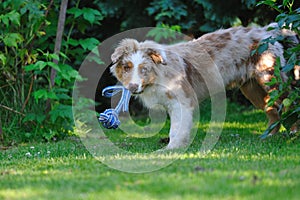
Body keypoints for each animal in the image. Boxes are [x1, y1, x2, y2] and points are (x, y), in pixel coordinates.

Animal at [109, 23, 298, 148]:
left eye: (144, 69)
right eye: (126, 67)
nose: (132, 87)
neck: (158, 75)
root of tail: (266, 31)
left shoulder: (182, 101)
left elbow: (176, 128)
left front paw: (171, 149)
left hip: (270, 79)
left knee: (291, 102)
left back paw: (294, 132)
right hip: (252, 89)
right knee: (272, 111)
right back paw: (268, 137)